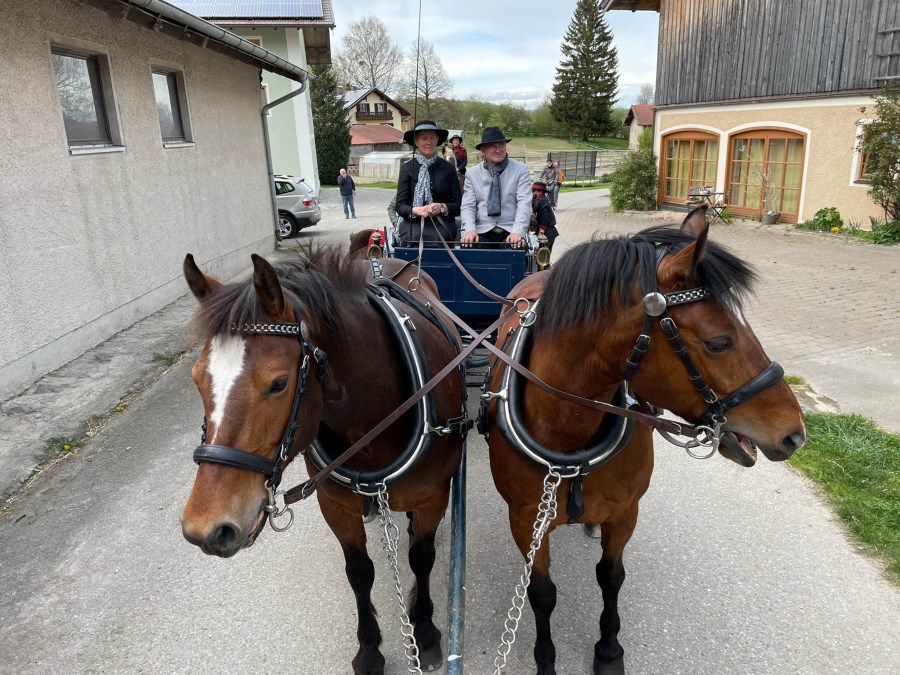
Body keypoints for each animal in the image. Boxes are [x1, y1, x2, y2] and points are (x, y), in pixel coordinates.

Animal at [179, 248, 466, 674]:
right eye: (197, 378)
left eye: (279, 384)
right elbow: (360, 573)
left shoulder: (432, 497)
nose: (205, 529)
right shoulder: (336, 505)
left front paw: (426, 632)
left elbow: (422, 558)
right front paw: (369, 649)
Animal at [485, 207, 806, 674]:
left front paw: (609, 650)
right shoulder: (527, 520)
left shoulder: (625, 512)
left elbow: (611, 577)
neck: (570, 433)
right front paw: (546, 660)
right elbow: (541, 594)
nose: (795, 432)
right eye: (719, 342)